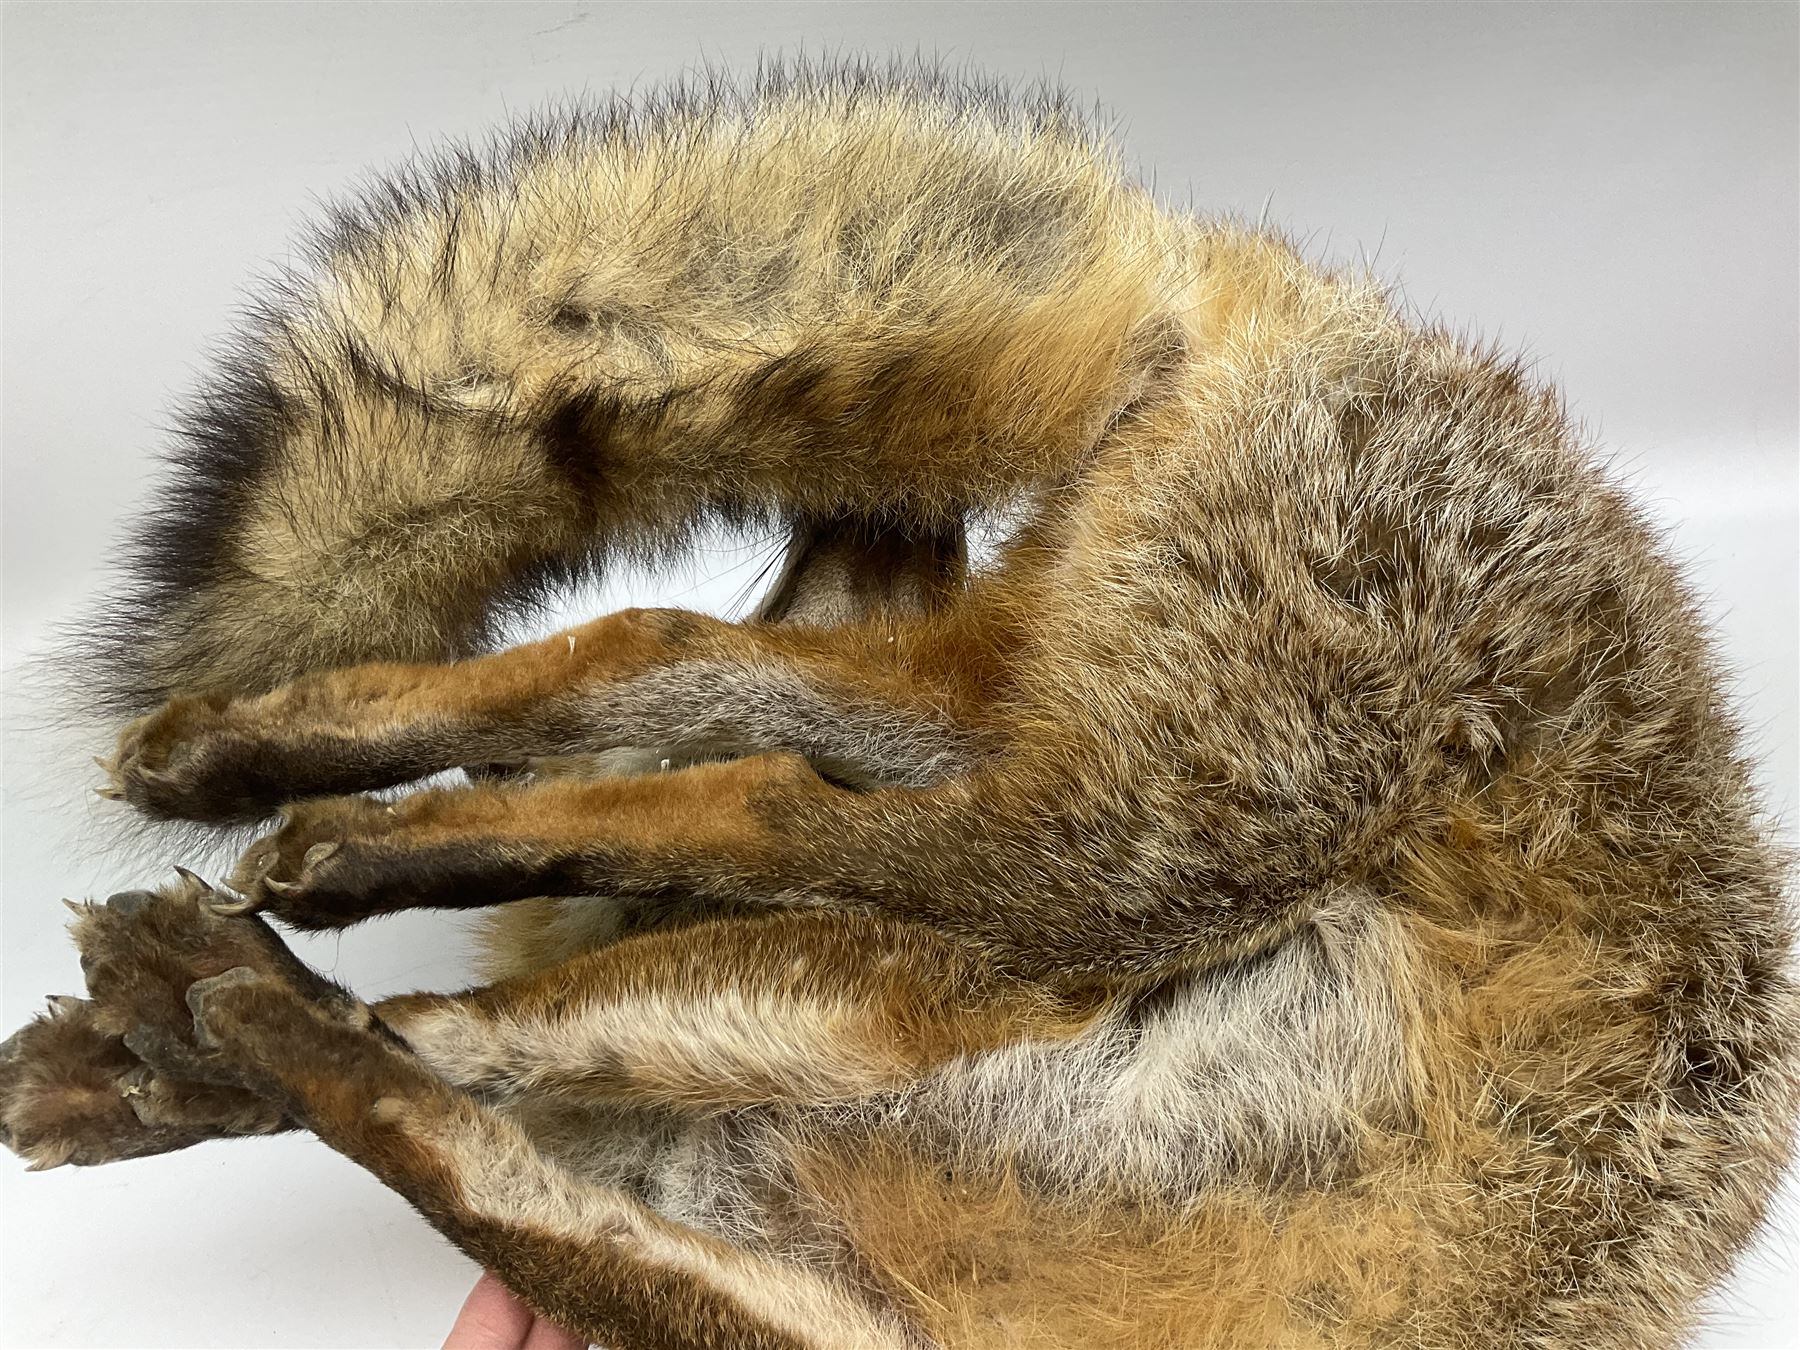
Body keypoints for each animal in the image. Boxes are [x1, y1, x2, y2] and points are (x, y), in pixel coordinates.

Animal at [0, 57, 1795, 1350]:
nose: (883, 531)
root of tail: (1279, 289)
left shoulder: (847, 1185)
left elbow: (464, 1124)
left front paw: (187, 1044)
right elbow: (474, 1126)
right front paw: (223, 1022)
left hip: (1046, 804)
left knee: (657, 684)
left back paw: (269, 851)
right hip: (1116, 847)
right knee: (732, 769)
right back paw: (288, 834)